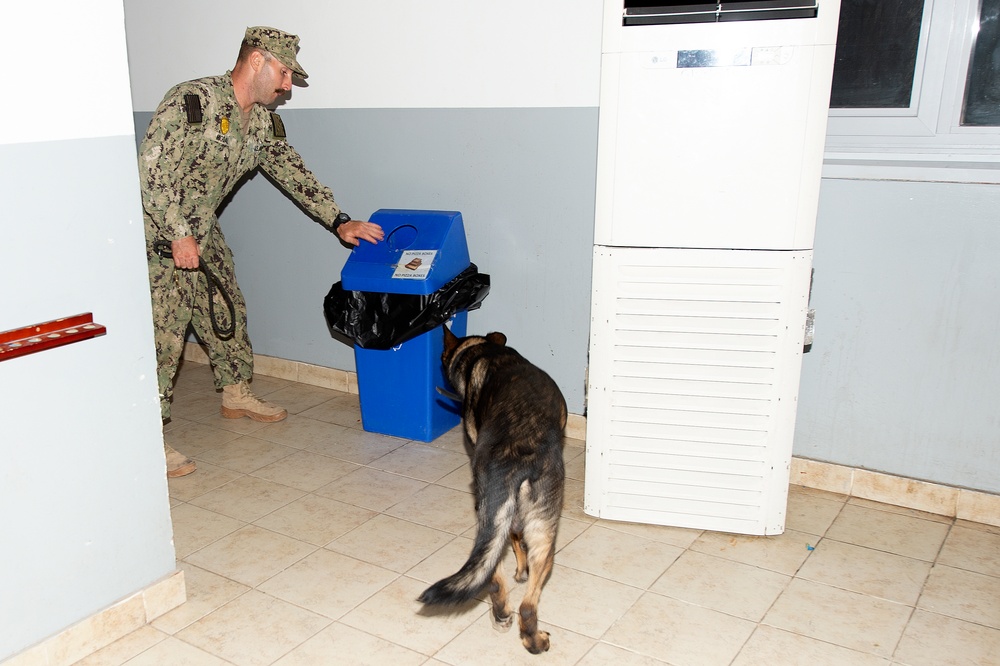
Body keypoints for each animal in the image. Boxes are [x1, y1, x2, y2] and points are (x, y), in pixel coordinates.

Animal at [418, 326, 568, 652]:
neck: (483, 351)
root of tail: (515, 457)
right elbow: (517, 541)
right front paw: (522, 571)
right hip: (543, 533)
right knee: (526, 602)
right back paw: (532, 638)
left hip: (493, 518)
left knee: (497, 579)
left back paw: (505, 617)